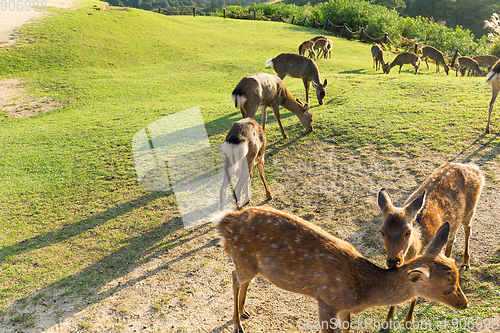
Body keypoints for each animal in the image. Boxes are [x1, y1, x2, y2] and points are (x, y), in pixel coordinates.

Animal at [214, 206, 468, 330]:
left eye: (457, 277)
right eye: (446, 288)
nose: (464, 304)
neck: (362, 292)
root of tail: (224, 222)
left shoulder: (345, 309)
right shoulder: (326, 300)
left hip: (252, 264)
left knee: (243, 279)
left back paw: (245, 311)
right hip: (243, 258)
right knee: (234, 277)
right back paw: (237, 324)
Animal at [376, 161, 482, 330]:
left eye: (407, 231)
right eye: (382, 231)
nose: (393, 262)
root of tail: (473, 168)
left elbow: (415, 295)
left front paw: (408, 321)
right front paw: (387, 322)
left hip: (470, 209)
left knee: (468, 229)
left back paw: (465, 262)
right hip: (454, 221)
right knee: (452, 237)